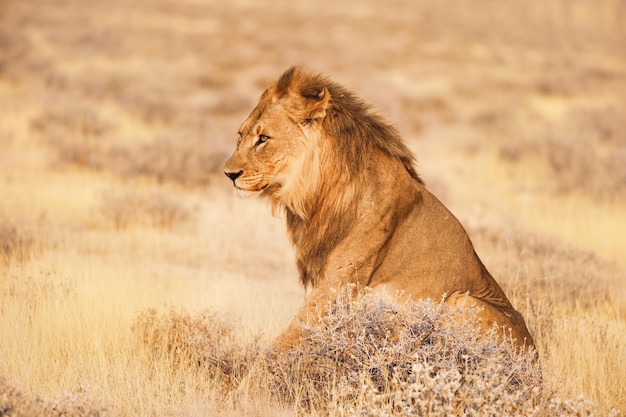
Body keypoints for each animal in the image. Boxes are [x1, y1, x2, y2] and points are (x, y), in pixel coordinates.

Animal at [222, 66, 532, 352]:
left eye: (263, 139)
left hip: (463, 300)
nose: (229, 174)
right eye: (239, 135)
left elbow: (282, 344)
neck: (317, 192)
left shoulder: (338, 284)